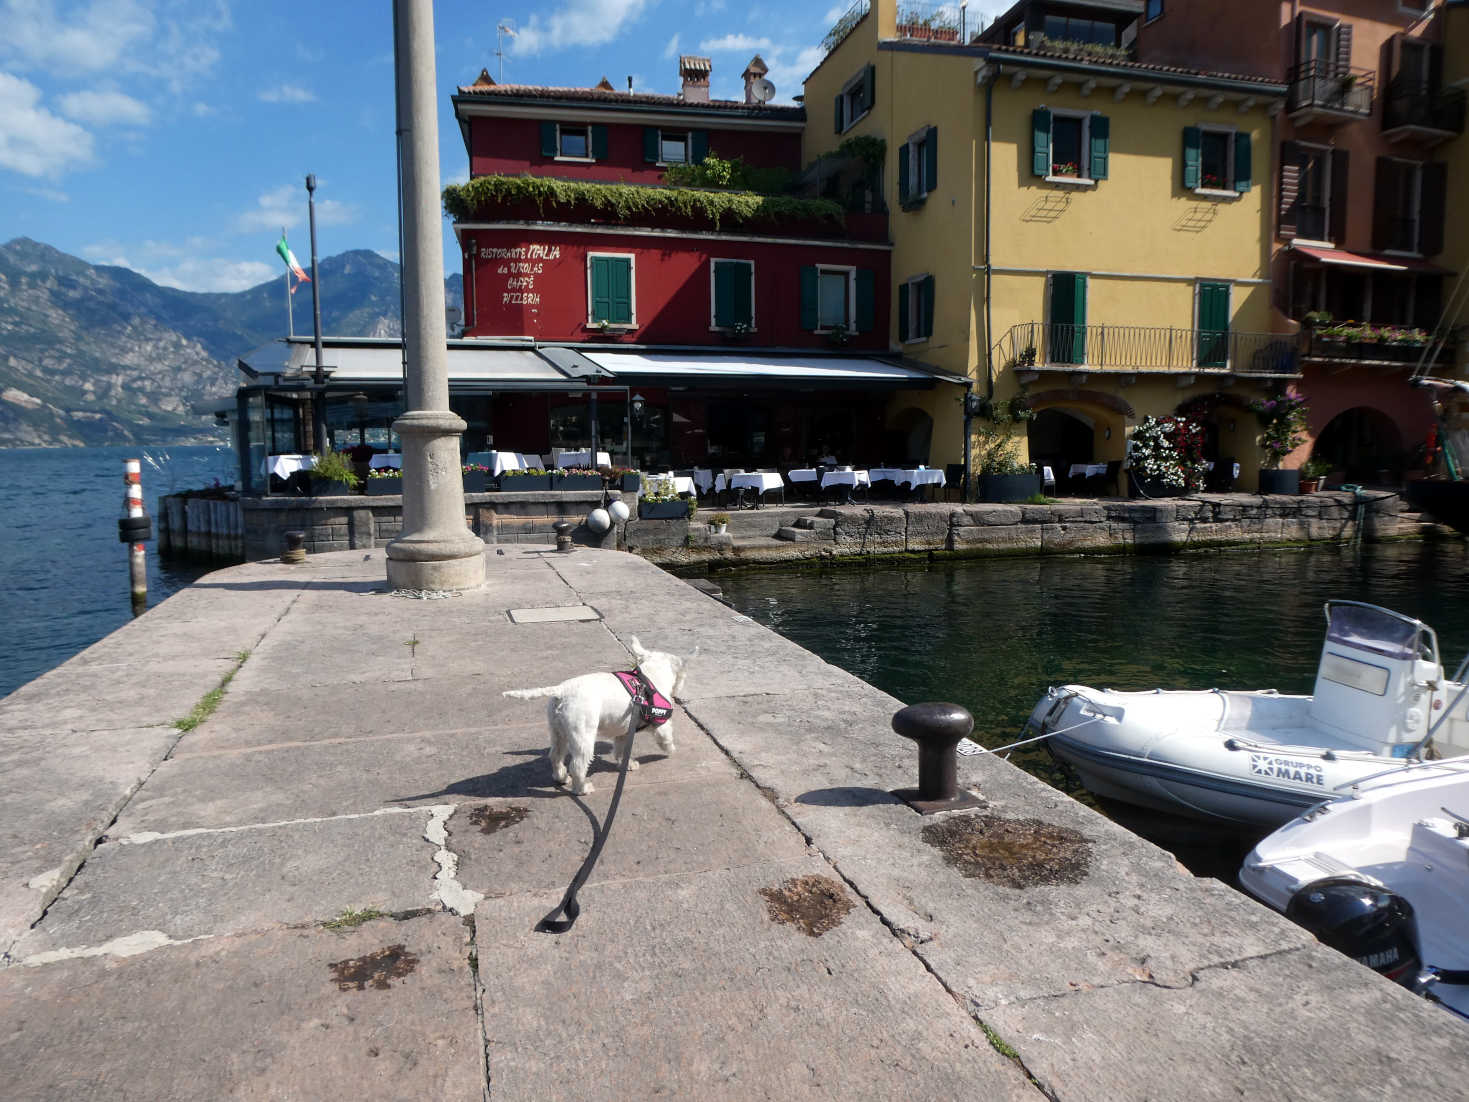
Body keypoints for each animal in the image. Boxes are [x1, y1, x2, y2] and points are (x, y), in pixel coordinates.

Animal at [499, 634, 693, 799]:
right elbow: (666, 737)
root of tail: (561, 691)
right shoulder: (661, 723)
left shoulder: (624, 731)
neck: (650, 678)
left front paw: (627, 764)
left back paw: (561, 777)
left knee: (555, 755)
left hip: (557, 730)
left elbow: (621, 750)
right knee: (577, 766)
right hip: (583, 735)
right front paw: (670, 750)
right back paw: (582, 788)